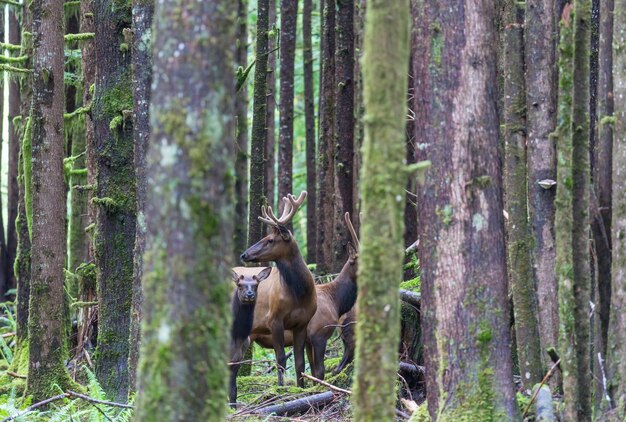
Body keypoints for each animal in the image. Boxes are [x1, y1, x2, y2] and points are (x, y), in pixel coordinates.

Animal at [233, 191, 316, 390]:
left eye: (270, 240)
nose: (244, 254)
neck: (300, 294)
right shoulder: (274, 319)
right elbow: (280, 359)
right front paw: (281, 387)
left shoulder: (302, 323)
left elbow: (300, 362)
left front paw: (300, 388)